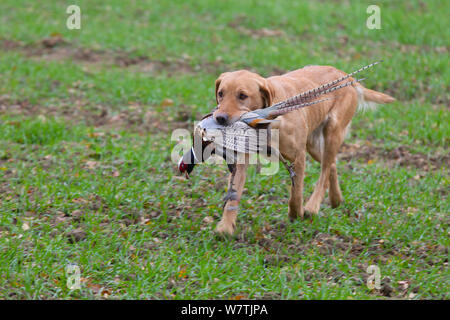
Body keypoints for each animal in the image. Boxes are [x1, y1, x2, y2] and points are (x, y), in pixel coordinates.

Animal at [212, 65, 394, 235]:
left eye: (242, 96)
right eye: (221, 93)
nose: (219, 118)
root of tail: (345, 75)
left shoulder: (298, 156)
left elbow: (296, 193)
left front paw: (296, 213)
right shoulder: (240, 160)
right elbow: (233, 194)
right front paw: (225, 227)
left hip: (332, 132)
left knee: (325, 171)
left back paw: (312, 207)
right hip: (313, 144)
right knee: (331, 165)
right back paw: (336, 199)